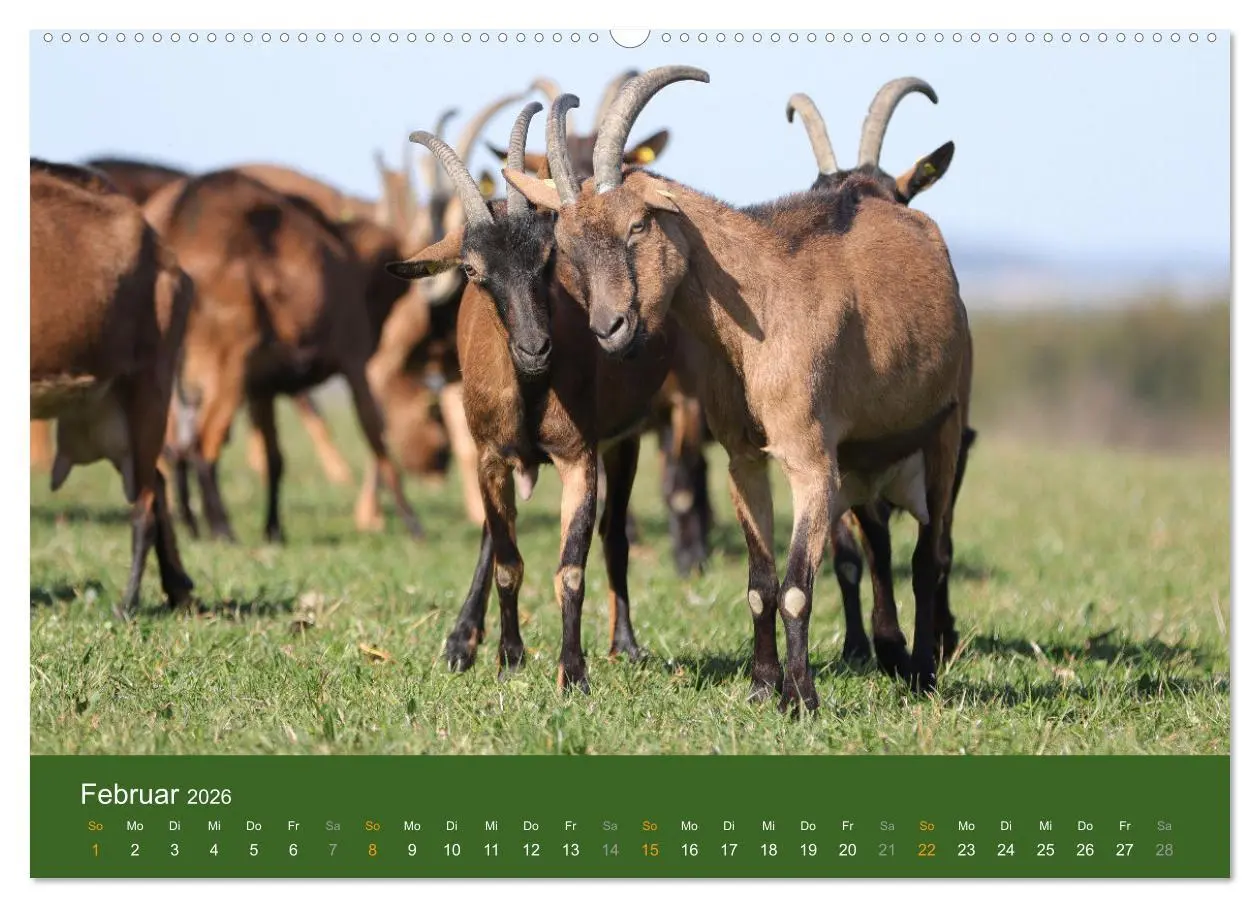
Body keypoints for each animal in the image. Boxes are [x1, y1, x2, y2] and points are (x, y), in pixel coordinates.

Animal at [142, 169, 424, 544]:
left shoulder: (262, 386)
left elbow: (275, 457)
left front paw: (274, 529)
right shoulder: (355, 363)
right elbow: (375, 437)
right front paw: (413, 523)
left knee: (175, 447)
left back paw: (192, 524)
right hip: (226, 365)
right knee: (201, 443)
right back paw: (222, 528)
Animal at [389, 98, 674, 690]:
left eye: (547, 258)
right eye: (473, 271)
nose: (535, 347)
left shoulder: (580, 454)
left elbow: (571, 567)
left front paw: (573, 671)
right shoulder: (490, 457)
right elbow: (506, 561)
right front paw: (508, 657)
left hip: (627, 438)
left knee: (615, 534)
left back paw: (625, 644)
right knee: (493, 538)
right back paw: (463, 641)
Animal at [506, 68, 970, 710]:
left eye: (637, 224)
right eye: (569, 247)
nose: (610, 328)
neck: (762, 304)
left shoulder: (808, 458)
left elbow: (799, 585)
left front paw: (801, 699)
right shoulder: (744, 457)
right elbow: (762, 581)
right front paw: (762, 685)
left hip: (945, 428)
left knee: (931, 554)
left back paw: (924, 668)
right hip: (866, 456)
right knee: (880, 544)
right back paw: (895, 656)